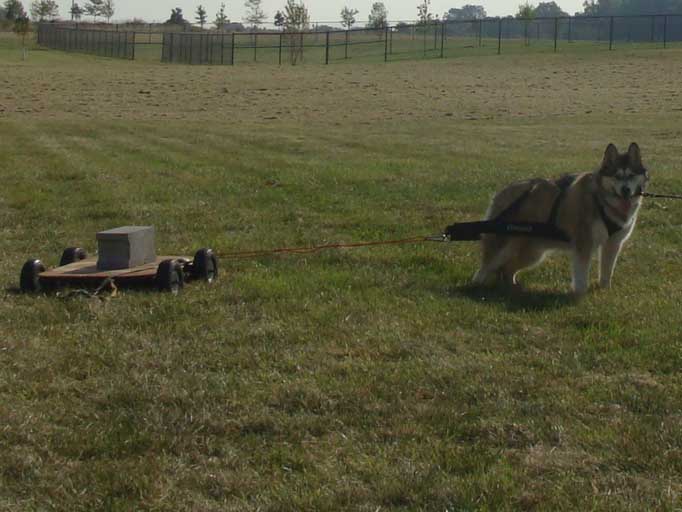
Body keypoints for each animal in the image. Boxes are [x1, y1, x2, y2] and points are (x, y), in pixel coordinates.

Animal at [472, 144, 648, 296]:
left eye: (631, 176)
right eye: (617, 176)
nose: (625, 190)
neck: (602, 201)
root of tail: (501, 192)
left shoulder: (613, 244)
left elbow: (607, 272)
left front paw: (605, 291)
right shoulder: (583, 243)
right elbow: (581, 276)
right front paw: (579, 296)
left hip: (533, 253)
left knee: (507, 268)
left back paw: (513, 287)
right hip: (502, 247)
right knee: (484, 269)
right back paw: (478, 287)